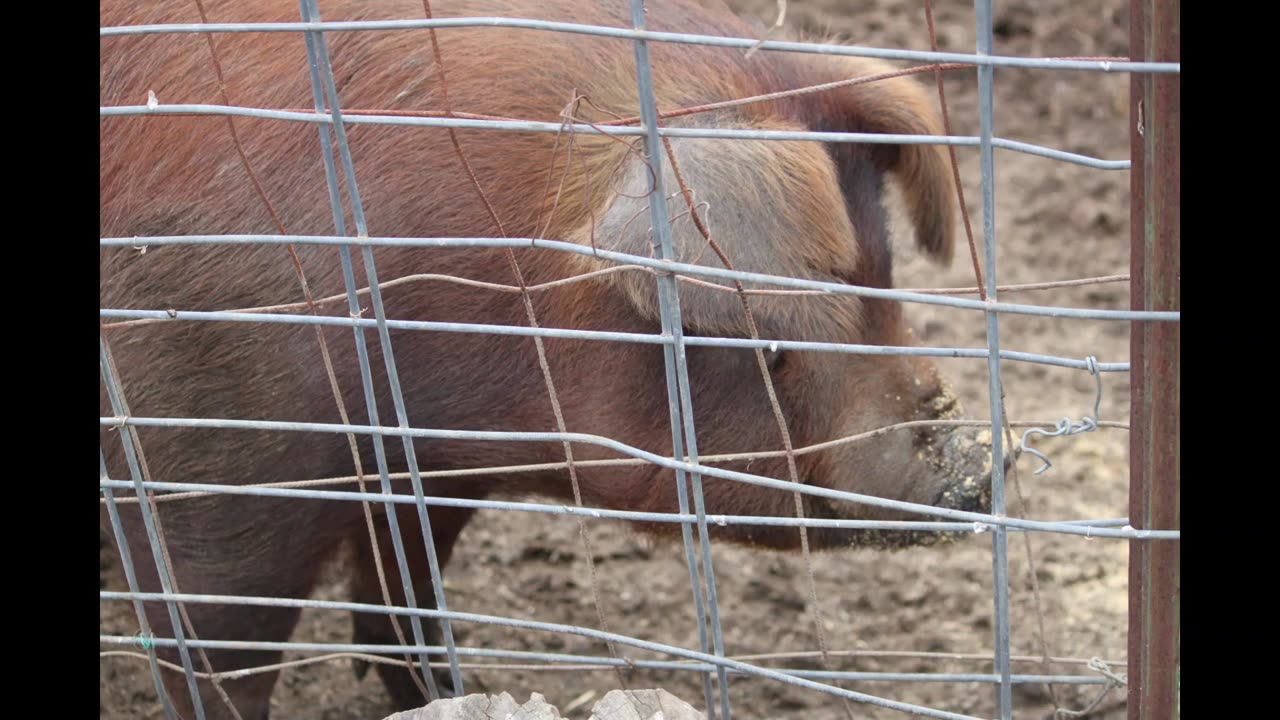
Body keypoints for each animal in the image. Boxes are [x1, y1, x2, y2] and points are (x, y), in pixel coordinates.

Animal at [100, 0, 998, 717]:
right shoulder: (200, 440)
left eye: (885, 287)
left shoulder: (441, 467)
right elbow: (218, 650)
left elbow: (405, 595)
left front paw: (447, 693)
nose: (975, 464)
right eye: (772, 344)